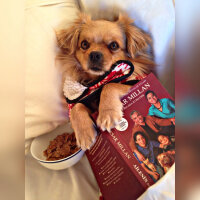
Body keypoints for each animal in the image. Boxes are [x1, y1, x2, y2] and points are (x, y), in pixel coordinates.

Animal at [56, 12, 155, 150]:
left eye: (114, 45)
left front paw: (107, 114)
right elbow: (76, 106)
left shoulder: (136, 82)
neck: (98, 80)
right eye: (84, 44)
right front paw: (84, 133)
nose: (94, 54)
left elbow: (109, 86)